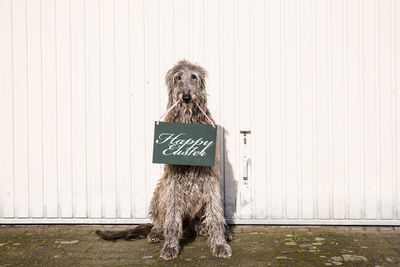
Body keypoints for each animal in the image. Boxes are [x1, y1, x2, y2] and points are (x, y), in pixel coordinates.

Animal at [96, 59, 231, 260]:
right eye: (178, 78)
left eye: (193, 76)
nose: (186, 97)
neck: (187, 120)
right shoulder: (172, 181)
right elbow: (172, 219)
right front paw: (170, 246)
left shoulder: (210, 178)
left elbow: (215, 214)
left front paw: (220, 244)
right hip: (161, 189)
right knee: (161, 221)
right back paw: (156, 232)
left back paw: (209, 229)